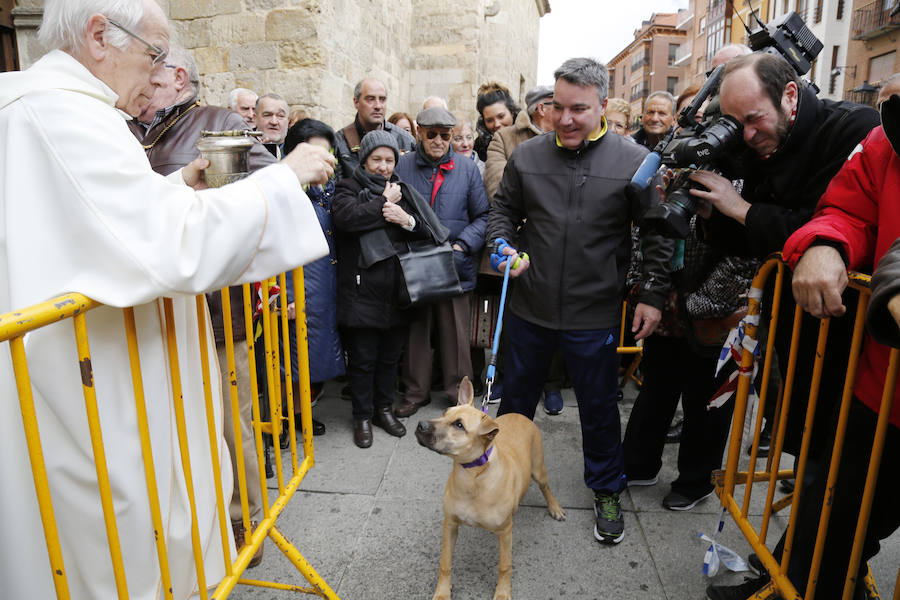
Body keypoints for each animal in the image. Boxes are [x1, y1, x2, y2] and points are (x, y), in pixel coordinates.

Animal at [414, 378, 564, 596]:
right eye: (444, 412)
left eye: (459, 425)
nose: (420, 425)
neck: (473, 476)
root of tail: (519, 414)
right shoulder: (450, 525)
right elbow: (445, 562)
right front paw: (442, 592)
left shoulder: (506, 532)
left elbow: (504, 566)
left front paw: (502, 593)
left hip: (538, 469)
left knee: (546, 487)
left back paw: (555, 507)